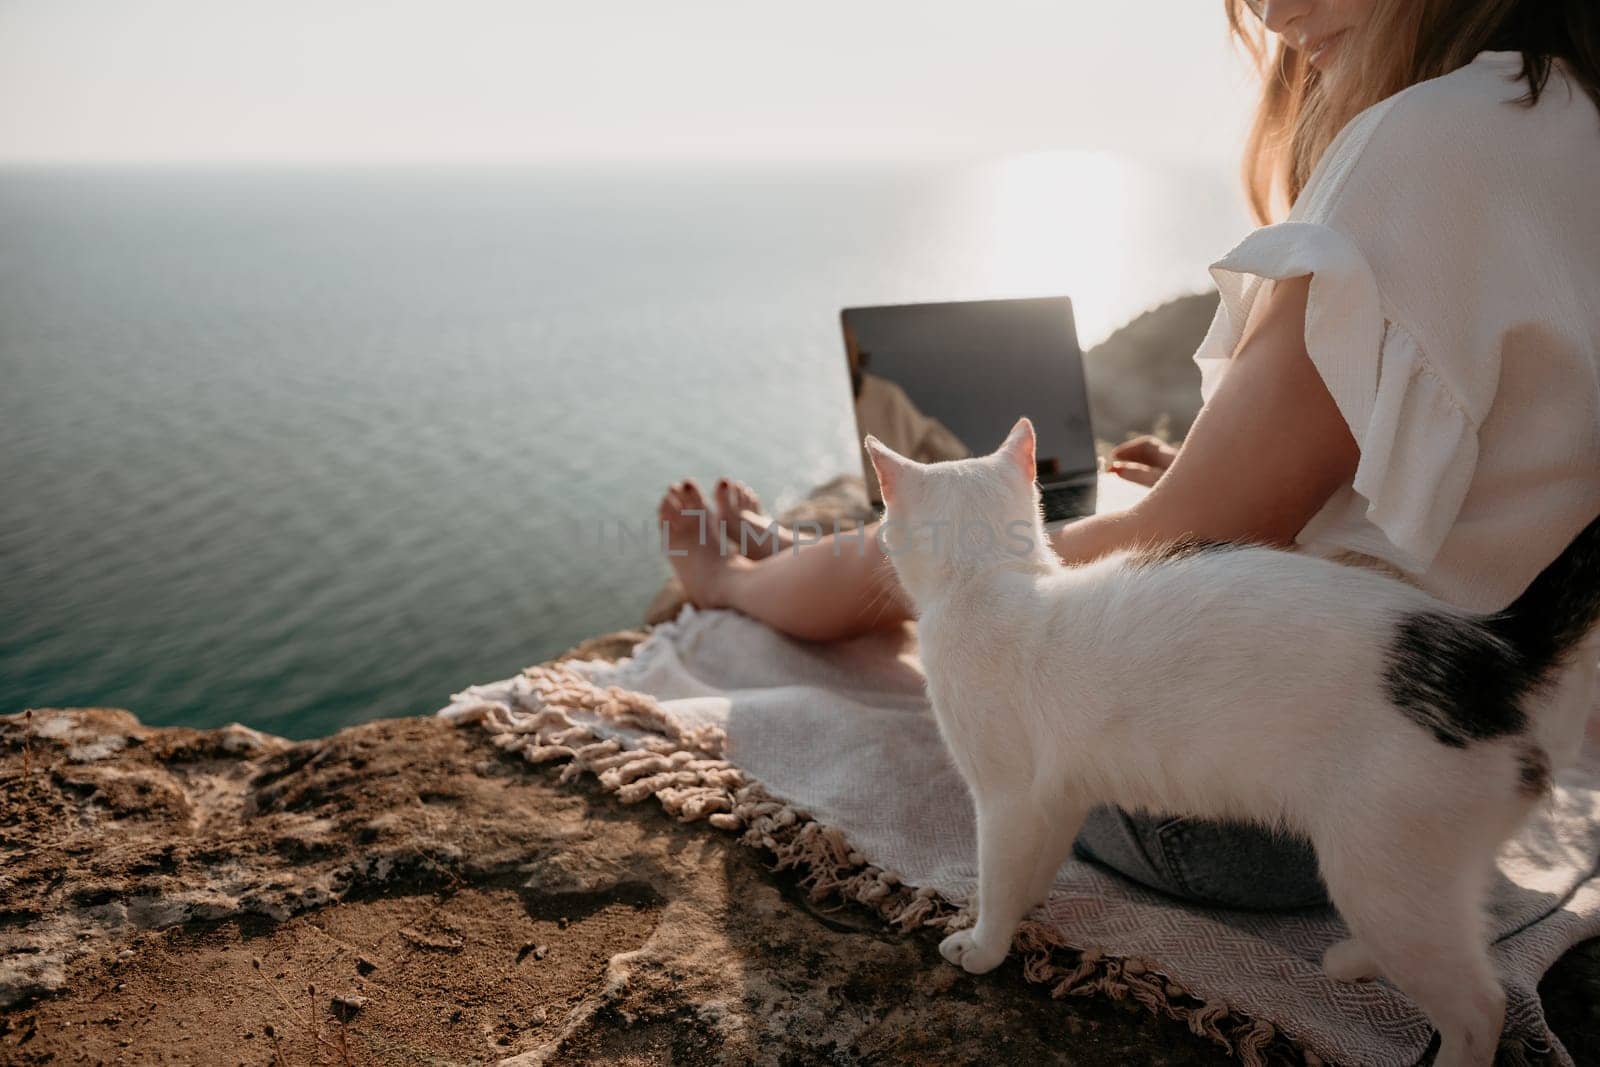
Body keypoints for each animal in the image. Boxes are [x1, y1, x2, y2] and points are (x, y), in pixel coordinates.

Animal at [870, 415, 1593, 1067]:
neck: (991, 580)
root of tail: (1491, 649)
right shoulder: (1059, 793)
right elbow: (1033, 863)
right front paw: (1026, 902)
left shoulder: (1006, 798)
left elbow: (998, 873)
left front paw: (984, 942)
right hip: (1407, 876)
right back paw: (1355, 958)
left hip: (1381, 864)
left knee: (1481, 1007)